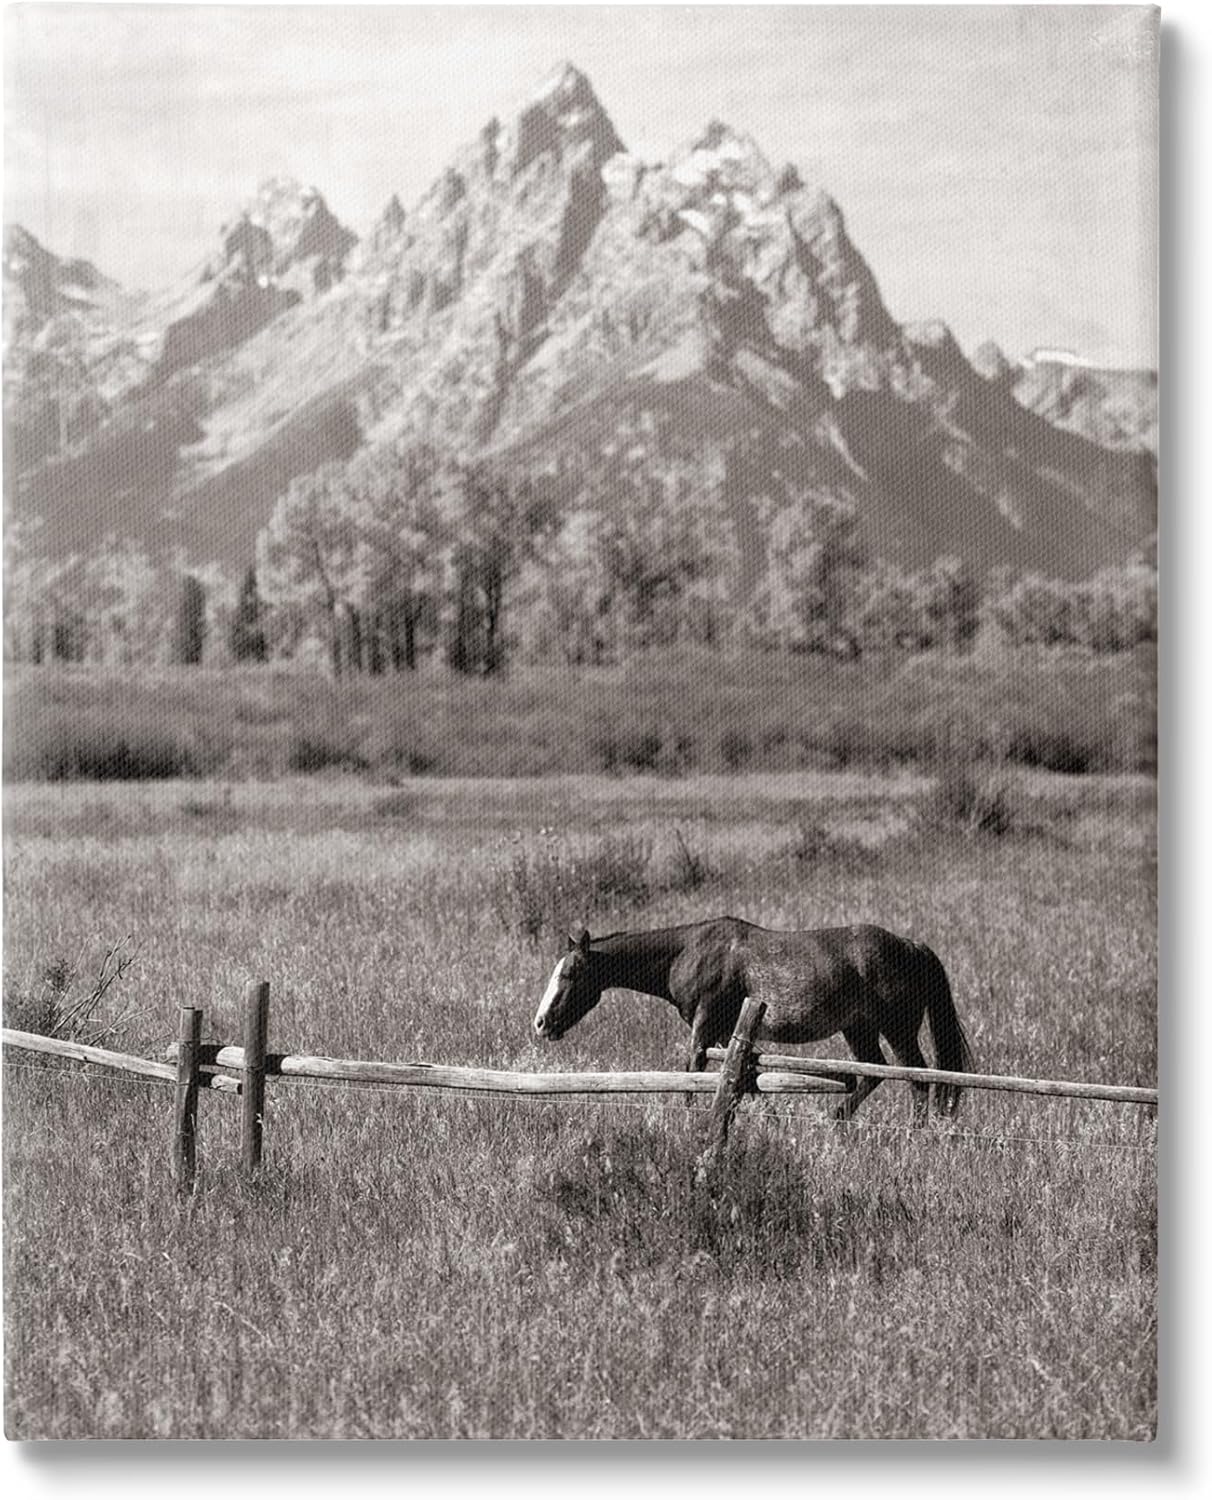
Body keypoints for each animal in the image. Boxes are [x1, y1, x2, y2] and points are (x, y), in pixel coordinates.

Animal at [532, 917, 973, 1123]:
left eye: (569, 974)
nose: (540, 1023)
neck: (689, 952)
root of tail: (911, 945)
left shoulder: (704, 1027)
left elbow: (692, 1074)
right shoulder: (728, 1034)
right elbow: (745, 1080)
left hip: (897, 1029)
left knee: (918, 1078)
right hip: (858, 1028)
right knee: (873, 1074)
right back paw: (836, 1120)